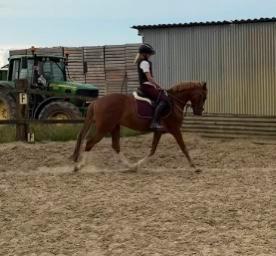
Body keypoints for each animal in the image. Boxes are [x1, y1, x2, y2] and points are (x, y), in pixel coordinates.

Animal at [72, 80, 206, 172]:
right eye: (203, 96)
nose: (199, 112)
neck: (174, 102)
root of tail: (96, 102)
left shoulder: (158, 132)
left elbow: (152, 150)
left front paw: (137, 165)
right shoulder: (175, 129)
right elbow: (184, 147)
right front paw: (195, 167)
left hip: (114, 127)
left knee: (115, 146)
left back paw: (130, 166)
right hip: (104, 128)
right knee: (90, 142)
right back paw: (79, 166)